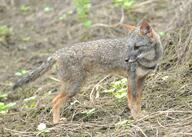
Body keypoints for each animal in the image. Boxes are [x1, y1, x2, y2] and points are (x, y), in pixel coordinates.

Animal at [13, 20, 164, 124]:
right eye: (128, 47)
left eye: (137, 47)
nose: (126, 59)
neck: (148, 60)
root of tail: (57, 53)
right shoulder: (131, 78)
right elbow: (133, 100)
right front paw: (136, 117)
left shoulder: (140, 79)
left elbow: (137, 99)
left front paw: (138, 114)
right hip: (74, 87)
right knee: (55, 101)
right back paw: (56, 123)